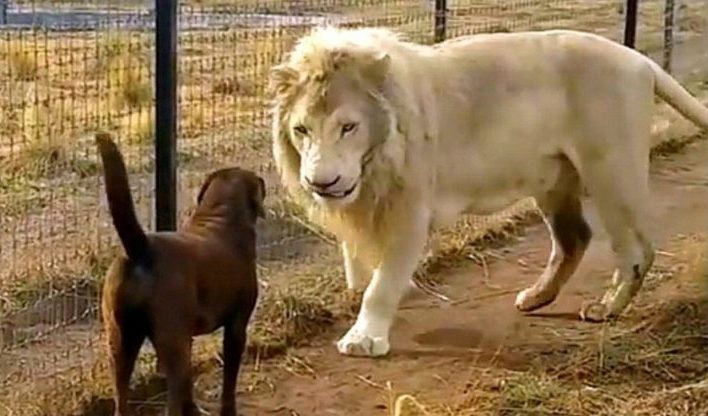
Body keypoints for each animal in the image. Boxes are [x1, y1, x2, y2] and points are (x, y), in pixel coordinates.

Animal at [97, 134, 266, 416]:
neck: (219, 216)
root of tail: (141, 248)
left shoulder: (188, 336)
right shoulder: (236, 325)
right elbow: (229, 380)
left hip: (120, 340)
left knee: (122, 394)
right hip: (169, 342)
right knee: (173, 393)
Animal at [266, 26, 708, 358]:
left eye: (348, 127)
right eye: (301, 129)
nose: (321, 182)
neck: (373, 164)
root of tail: (641, 60)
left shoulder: (410, 209)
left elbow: (380, 285)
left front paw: (364, 338)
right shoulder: (362, 207)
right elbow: (359, 271)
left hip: (610, 170)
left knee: (636, 251)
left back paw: (606, 309)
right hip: (553, 180)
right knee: (574, 239)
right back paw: (535, 298)